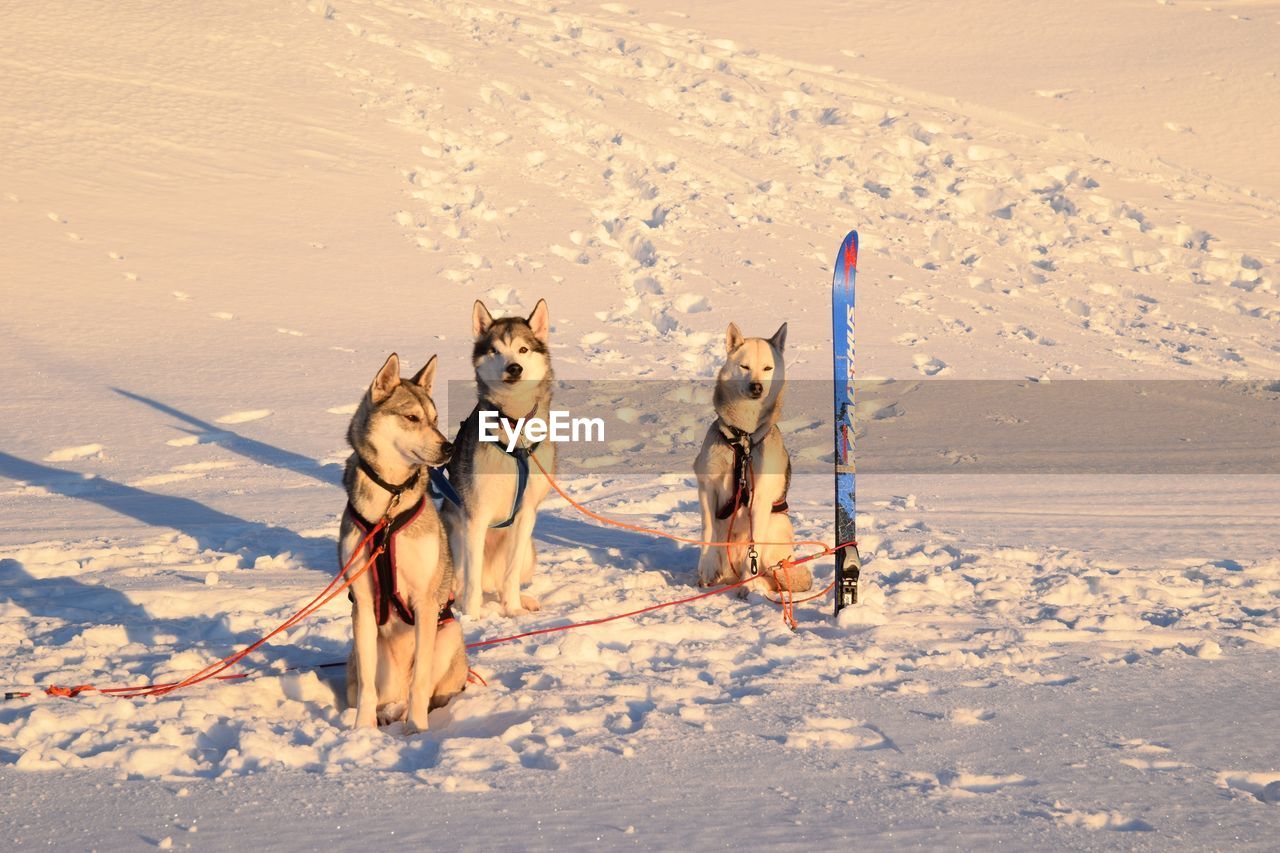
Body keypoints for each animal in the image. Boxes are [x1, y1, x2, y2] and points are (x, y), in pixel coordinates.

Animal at [340, 350, 471, 732]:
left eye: (435, 419)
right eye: (412, 417)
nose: (448, 446)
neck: (388, 510)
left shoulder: (425, 602)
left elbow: (421, 682)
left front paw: (417, 728)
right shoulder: (362, 602)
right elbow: (367, 687)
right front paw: (361, 730)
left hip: (448, 634)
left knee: (426, 688)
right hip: (358, 652)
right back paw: (385, 713)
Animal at [445, 295, 555, 614]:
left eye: (523, 349)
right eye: (495, 350)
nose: (514, 368)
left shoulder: (526, 514)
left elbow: (511, 573)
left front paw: (513, 609)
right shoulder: (475, 515)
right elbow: (471, 579)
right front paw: (472, 616)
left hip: (529, 550)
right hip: (452, 535)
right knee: (462, 581)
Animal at [696, 322, 803, 589]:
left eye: (768, 368)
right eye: (744, 366)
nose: (757, 387)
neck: (743, 436)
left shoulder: (760, 498)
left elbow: (754, 547)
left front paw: (748, 585)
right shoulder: (707, 487)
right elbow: (707, 530)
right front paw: (706, 567)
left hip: (778, 525)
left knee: (771, 568)